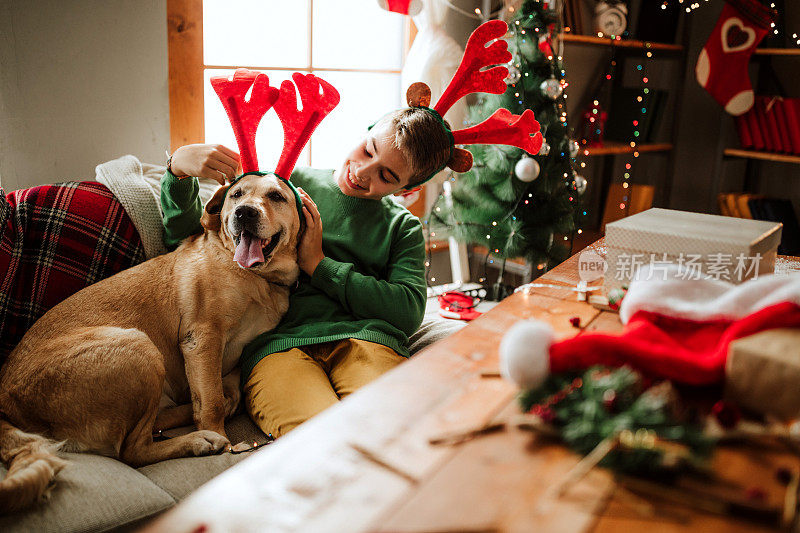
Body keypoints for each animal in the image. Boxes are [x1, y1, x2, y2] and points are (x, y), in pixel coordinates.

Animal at [0, 171, 300, 512]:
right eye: (237, 194)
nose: (244, 213)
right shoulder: (203, 338)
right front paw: (219, 437)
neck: (260, 279)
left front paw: (221, 402)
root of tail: (6, 401)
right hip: (139, 346)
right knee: (133, 451)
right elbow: (210, 403)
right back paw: (200, 440)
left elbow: (228, 390)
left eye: (276, 196)